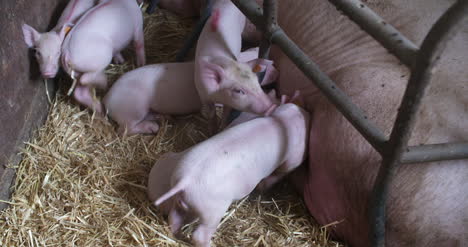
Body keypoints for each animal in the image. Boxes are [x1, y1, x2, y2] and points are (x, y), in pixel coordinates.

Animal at [151, 101, 310, 246]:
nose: (306, 111)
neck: (282, 120)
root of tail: (185, 181)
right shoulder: (292, 159)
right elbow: (278, 174)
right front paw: (262, 187)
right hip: (212, 210)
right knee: (199, 235)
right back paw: (211, 244)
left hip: (181, 202)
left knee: (173, 219)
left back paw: (177, 234)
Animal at [194, 0, 274, 131]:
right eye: (238, 91)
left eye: (257, 82)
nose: (272, 106)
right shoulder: (202, 93)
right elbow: (210, 113)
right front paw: (212, 130)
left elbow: (226, 112)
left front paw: (221, 128)